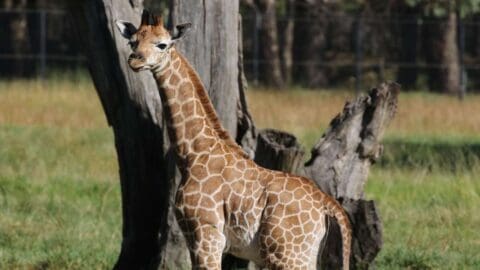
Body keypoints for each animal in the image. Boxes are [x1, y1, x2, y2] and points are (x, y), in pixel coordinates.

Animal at [114, 10, 350, 270]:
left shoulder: (206, 232)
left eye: (162, 44)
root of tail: (328, 205)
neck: (194, 154)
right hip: (304, 254)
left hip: (286, 253)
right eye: (132, 41)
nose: (135, 61)